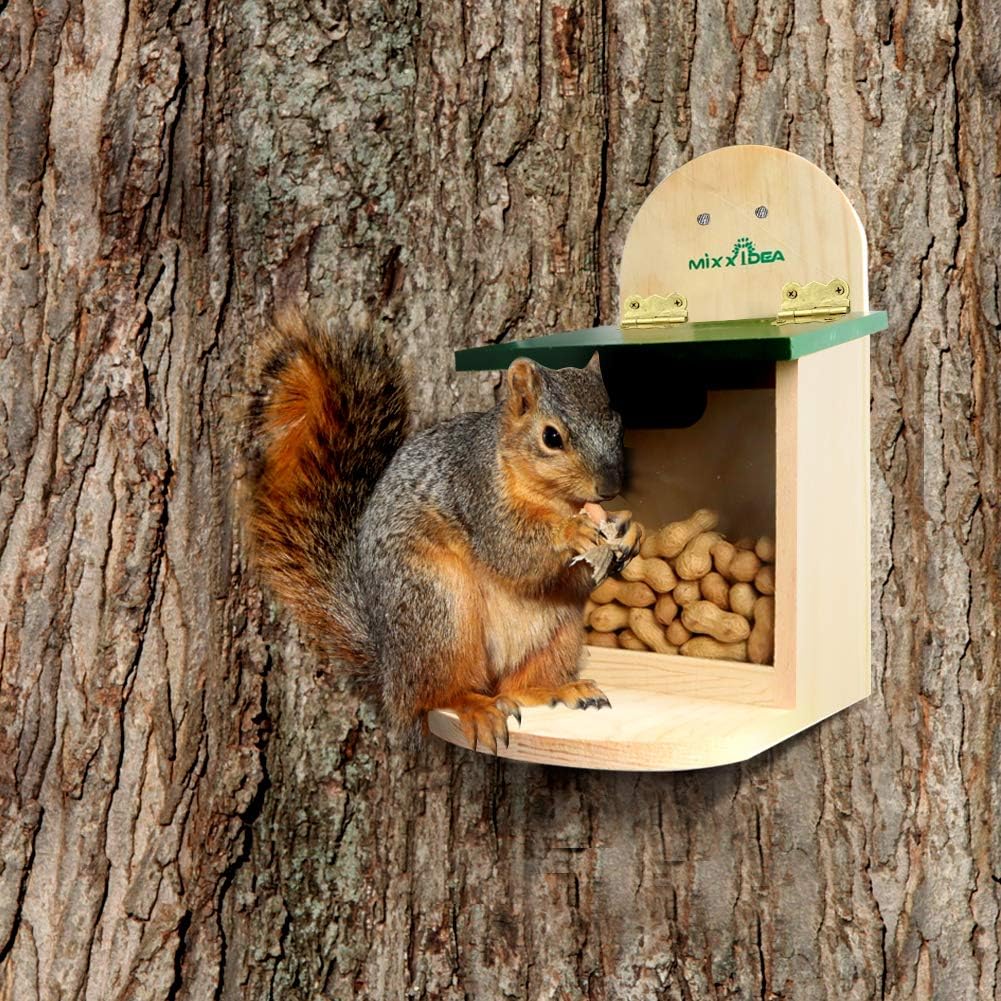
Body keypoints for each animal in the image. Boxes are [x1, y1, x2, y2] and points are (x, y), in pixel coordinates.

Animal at [244, 308, 640, 751]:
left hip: (559, 633)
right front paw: (573, 532)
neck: (553, 499)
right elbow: (511, 550)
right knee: (436, 694)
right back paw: (474, 705)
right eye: (551, 437)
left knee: (518, 686)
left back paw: (558, 689)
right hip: (438, 608)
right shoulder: (476, 493)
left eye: (619, 426)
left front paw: (629, 529)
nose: (610, 487)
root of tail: (391, 671)